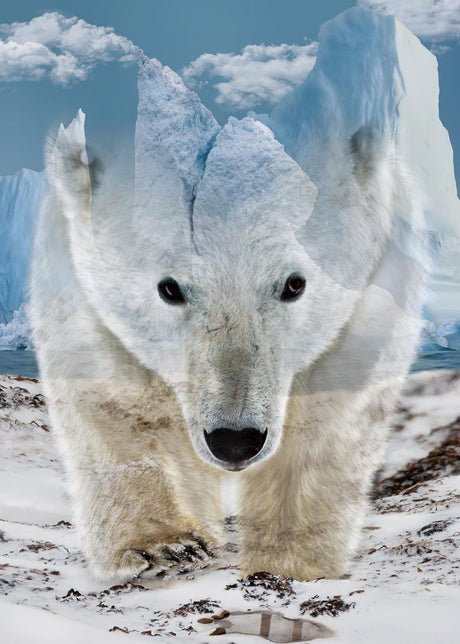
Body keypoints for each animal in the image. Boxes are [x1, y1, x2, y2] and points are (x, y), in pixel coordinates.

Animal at [30, 10, 434, 582]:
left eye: (294, 283)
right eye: (169, 287)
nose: (235, 439)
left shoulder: (375, 291)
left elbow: (326, 421)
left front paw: (292, 557)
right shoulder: (76, 278)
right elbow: (118, 406)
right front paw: (165, 544)